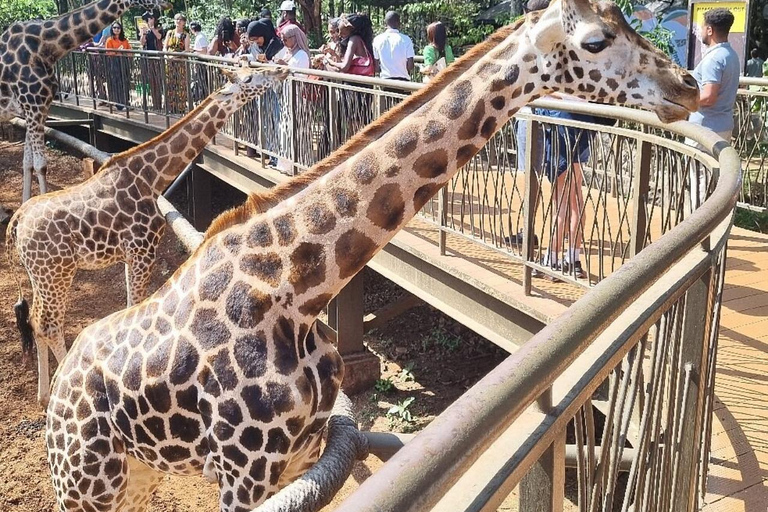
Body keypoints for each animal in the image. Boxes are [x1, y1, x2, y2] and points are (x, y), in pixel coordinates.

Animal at [0, 0, 171, 205]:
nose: (167, 4)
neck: (47, 47)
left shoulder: (34, 109)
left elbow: (27, 162)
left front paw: (25, 205)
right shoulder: (35, 106)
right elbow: (40, 165)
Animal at [7, 66, 288, 409]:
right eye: (248, 79)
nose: (280, 70)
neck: (153, 178)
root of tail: (17, 222)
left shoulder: (132, 255)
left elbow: (130, 307)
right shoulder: (142, 251)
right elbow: (135, 307)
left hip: (40, 274)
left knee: (35, 320)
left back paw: (44, 395)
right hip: (56, 271)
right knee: (49, 323)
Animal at [45, 0, 699, 510]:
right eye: (595, 41)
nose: (687, 86)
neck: (298, 287)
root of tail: (59, 389)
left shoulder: (299, 455)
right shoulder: (241, 471)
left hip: (136, 475)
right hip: (84, 482)